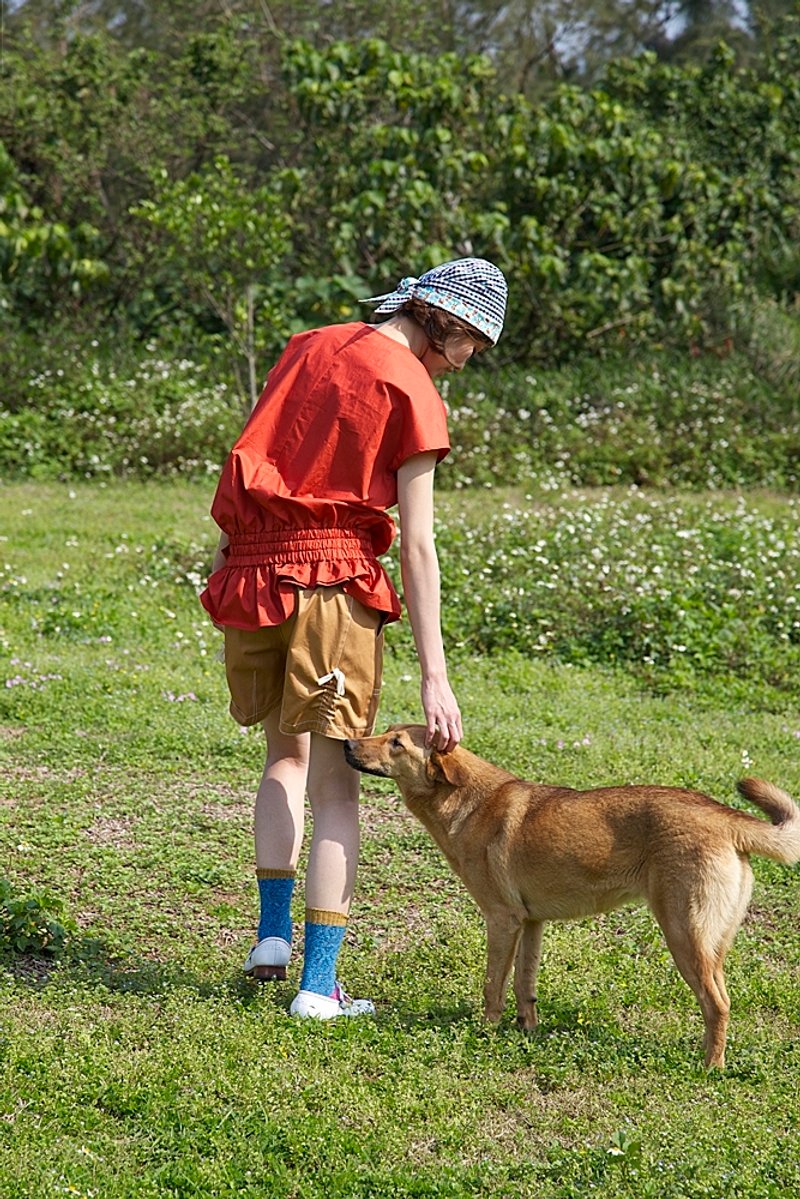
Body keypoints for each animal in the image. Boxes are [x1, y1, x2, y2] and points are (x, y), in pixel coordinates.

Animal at [345, 719, 800, 1069]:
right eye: (385, 730)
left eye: (396, 742)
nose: (348, 743)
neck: (467, 801)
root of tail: (726, 819)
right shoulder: (530, 922)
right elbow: (524, 984)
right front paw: (525, 1030)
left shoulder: (501, 920)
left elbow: (493, 985)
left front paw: (486, 1031)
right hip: (710, 943)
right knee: (721, 1001)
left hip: (684, 935)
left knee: (717, 1005)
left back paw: (710, 1067)